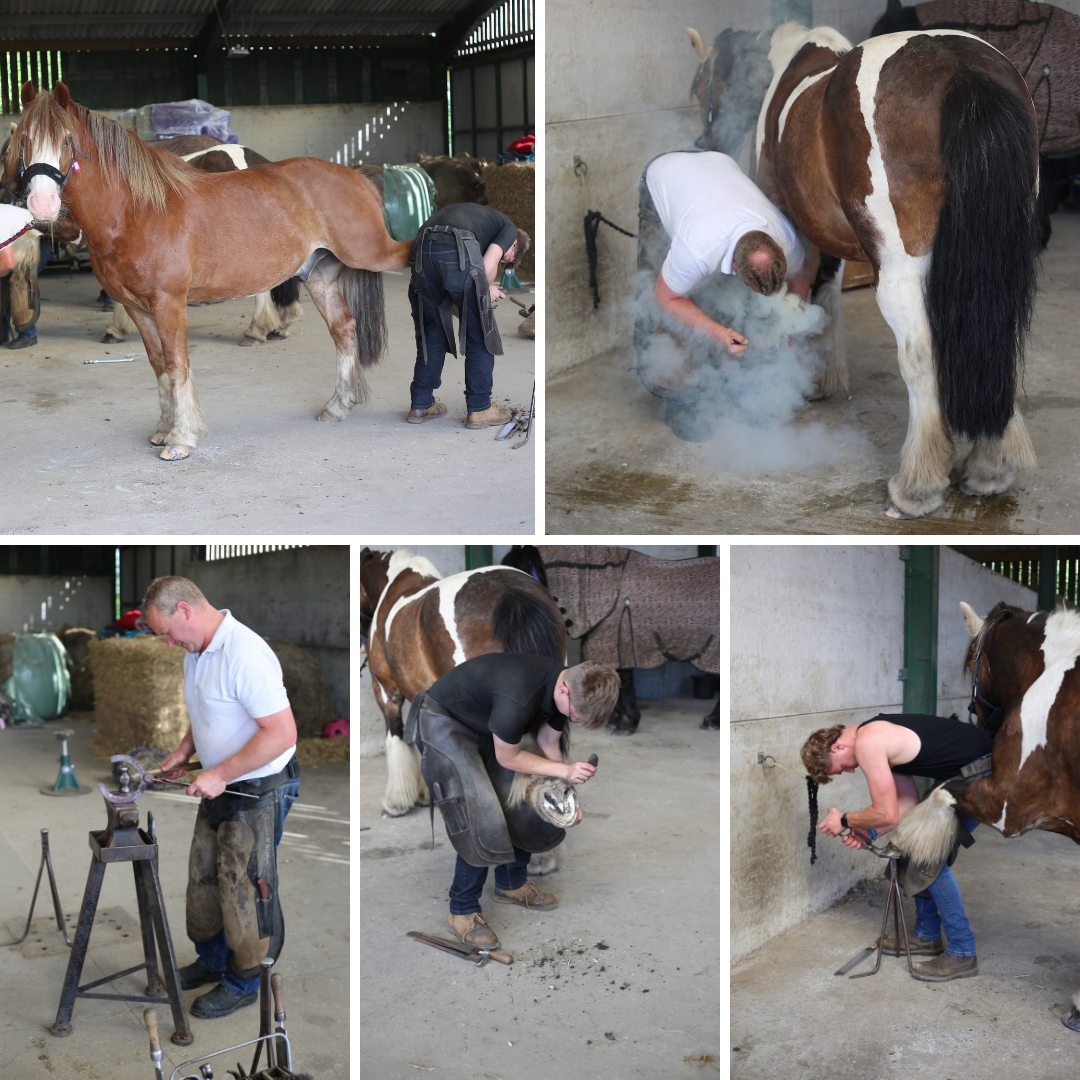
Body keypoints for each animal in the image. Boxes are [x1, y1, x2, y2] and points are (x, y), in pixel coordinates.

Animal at [6, 79, 410, 457]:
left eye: (67, 141)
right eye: (23, 141)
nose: (42, 204)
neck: (137, 211)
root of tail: (355, 175)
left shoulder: (168, 304)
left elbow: (177, 364)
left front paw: (181, 439)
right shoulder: (139, 308)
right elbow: (158, 366)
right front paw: (163, 429)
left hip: (372, 254)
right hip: (320, 276)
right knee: (343, 329)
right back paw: (337, 406)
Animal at [691, 23, 1036, 516]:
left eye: (698, 85)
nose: (704, 142)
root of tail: (959, 71)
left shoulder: (789, 225)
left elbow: (796, 299)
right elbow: (826, 296)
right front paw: (821, 377)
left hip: (901, 272)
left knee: (920, 357)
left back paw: (916, 485)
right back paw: (990, 468)